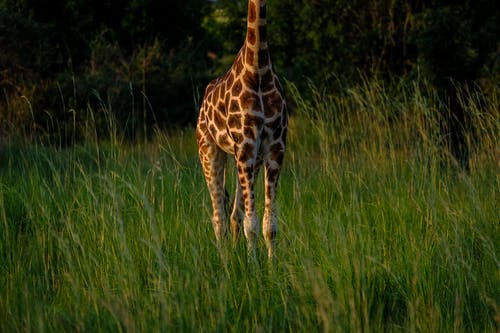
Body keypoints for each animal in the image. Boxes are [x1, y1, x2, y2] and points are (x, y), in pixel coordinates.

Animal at [197, 0, 288, 258]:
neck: (258, 69)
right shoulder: (246, 146)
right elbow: (252, 224)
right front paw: (254, 266)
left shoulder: (275, 148)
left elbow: (269, 225)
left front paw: (267, 265)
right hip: (209, 151)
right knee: (218, 216)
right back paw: (225, 261)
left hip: (247, 160)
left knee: (234, 214)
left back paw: (236, 256)